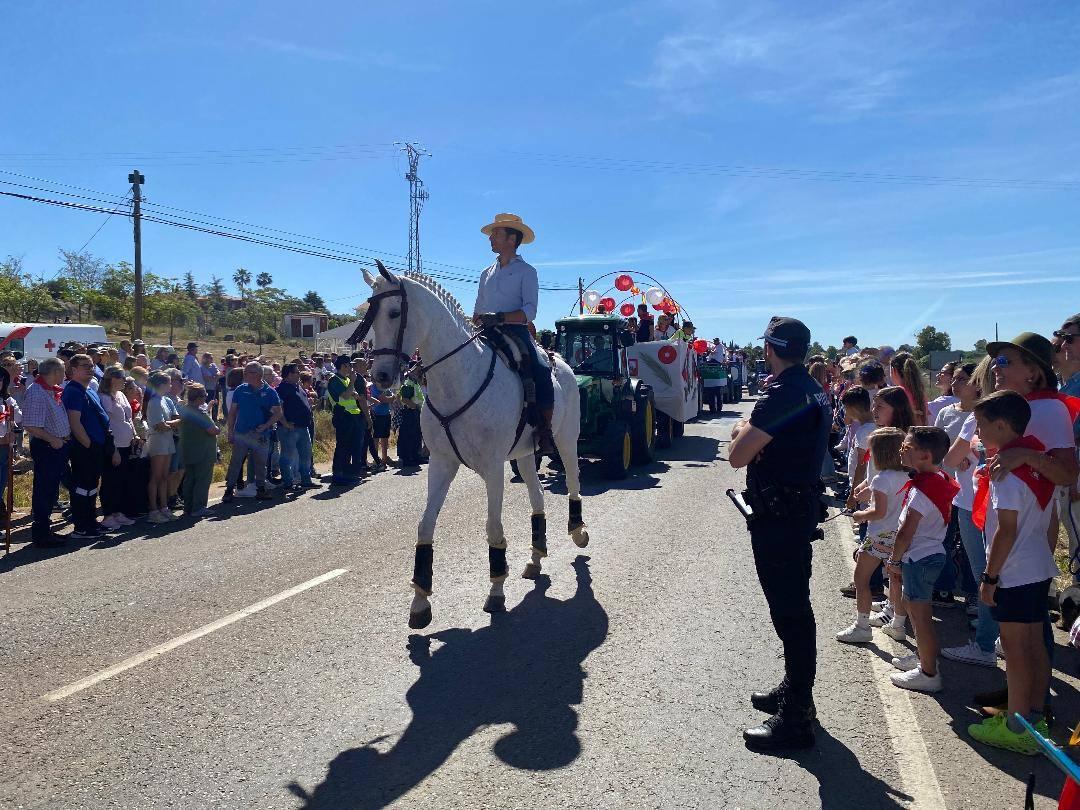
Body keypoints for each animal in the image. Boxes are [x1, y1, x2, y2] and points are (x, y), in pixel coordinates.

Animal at [358, 263, 587, 630]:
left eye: (394, 312)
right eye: (369, 315)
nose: (379, 377)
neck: (458, 380)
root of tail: (562, 363)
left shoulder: (493, 469)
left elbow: (493, 528)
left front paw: (496, 589)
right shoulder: (441, 463)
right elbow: (425, 525)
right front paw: (420, 600)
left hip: (566, 440)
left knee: (575, 481)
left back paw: (578, 530)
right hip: (525, 454)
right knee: (537, 495)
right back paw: (536, 556)